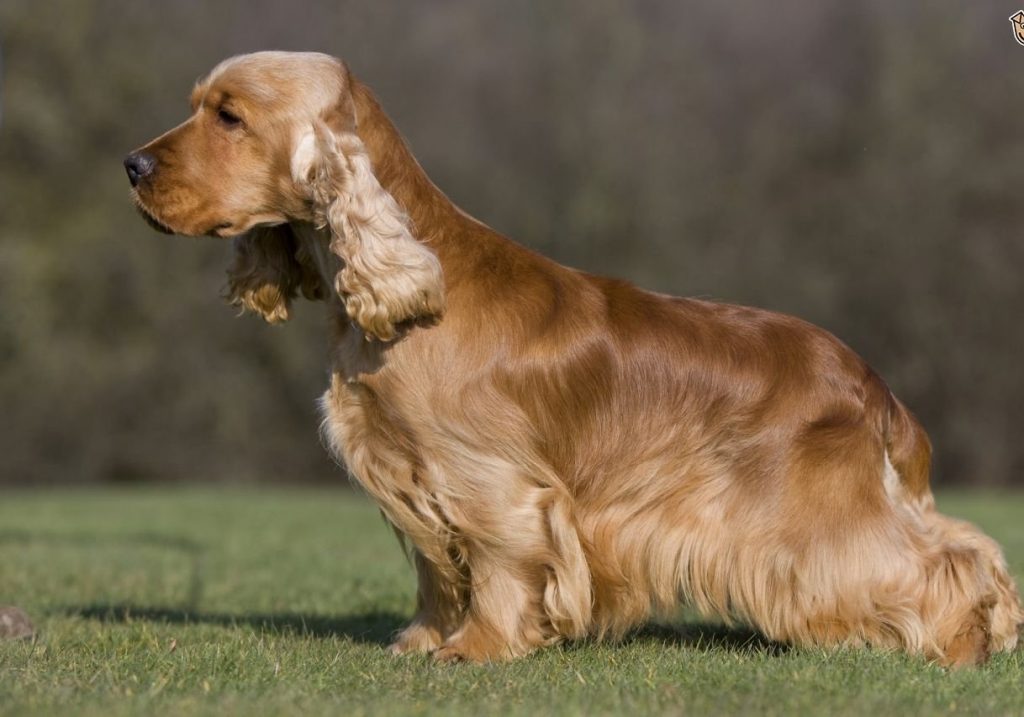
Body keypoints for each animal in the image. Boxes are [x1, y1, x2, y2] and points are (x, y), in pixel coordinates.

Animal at [123, 50, 1019, 667]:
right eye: (201, 108)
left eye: (229, 116)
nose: (131, 164)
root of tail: (871, 383)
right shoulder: (410, 471)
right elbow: (435, 567)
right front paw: (422, 639)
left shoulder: (489, 479)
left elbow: (493, 561)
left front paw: (475, 648)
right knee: (960, 541)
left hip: (822, 514)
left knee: (941, 559)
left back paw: (966, 641)